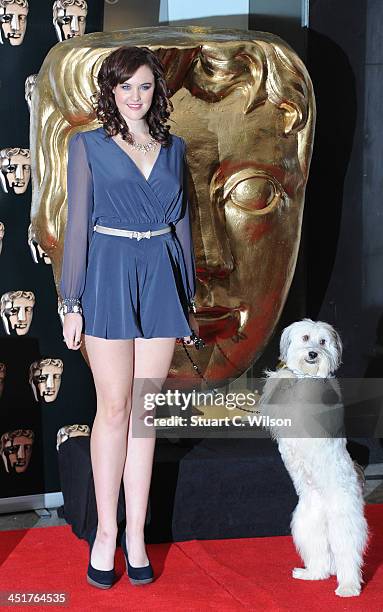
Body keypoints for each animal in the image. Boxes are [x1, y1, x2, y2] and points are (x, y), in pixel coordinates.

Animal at [260, 320, 368, 596]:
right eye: (306, 338)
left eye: (323, 342)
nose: (313, 354)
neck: (307, 377)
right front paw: (283, 375)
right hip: (306, 525)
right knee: (321, 560)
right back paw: (311, 574)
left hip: (344, 524)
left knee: (347, 556)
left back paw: (348, 587)